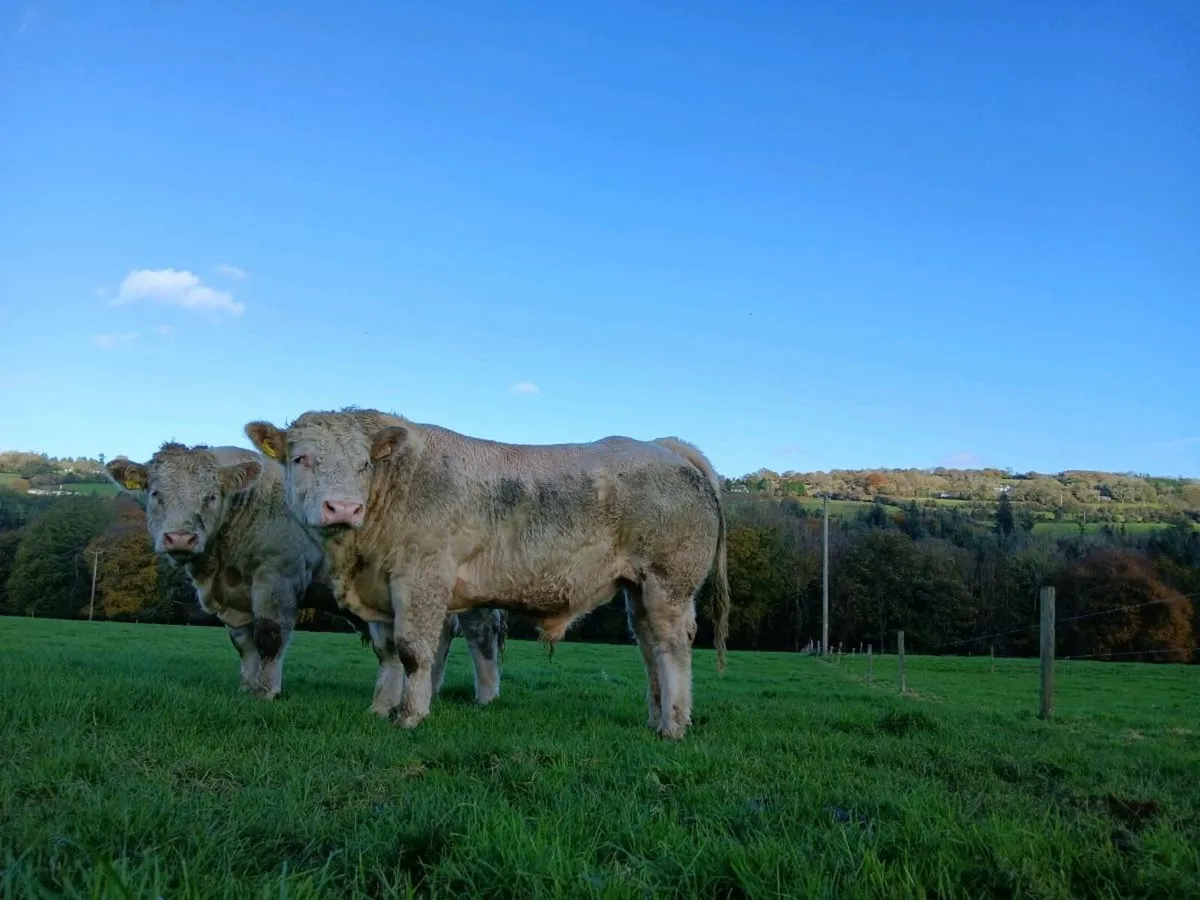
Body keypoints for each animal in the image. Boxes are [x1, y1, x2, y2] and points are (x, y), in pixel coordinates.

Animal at [105, 442, 506, 710]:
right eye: (155, 492)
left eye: (211, 496)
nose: (180, 538)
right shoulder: (235, 600)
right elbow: (243, 644)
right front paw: (246, 688)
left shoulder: (276, 578)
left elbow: (269, 638)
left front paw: (267, 692)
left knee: (480, 635)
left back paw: (486, 697)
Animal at [244, 408, 730, 740]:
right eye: (301, 458)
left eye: (365, 463)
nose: (343, 507)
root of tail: (665, 447)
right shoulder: (380, 591)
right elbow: (387, 654)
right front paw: (379, 710)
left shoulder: (421, 580)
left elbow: (413, 652)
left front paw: (410, 717)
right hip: (639, 590)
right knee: (649, 649)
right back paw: (656, 718)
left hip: (670, 583)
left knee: (673, 648)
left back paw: (673, 725)